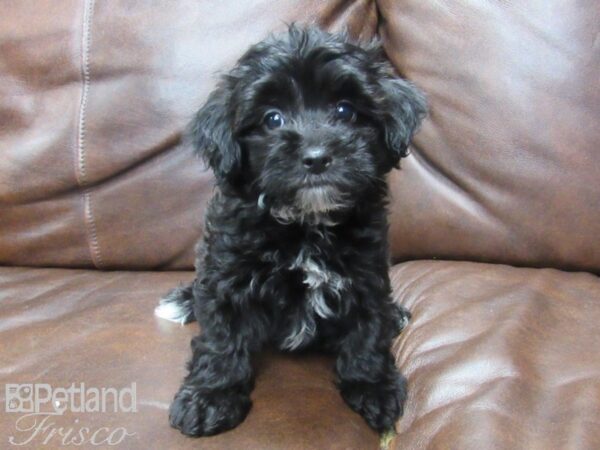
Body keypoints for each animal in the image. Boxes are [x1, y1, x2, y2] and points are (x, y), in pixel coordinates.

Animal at [156, 24, 426, 436]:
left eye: (345, 110)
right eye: (272, 119)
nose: (315, 158)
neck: (306, 223)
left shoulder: (366, 270)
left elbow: (367, 328)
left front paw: (373, 385)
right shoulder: (226, 270)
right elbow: (221, 335)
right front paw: (211, 396)